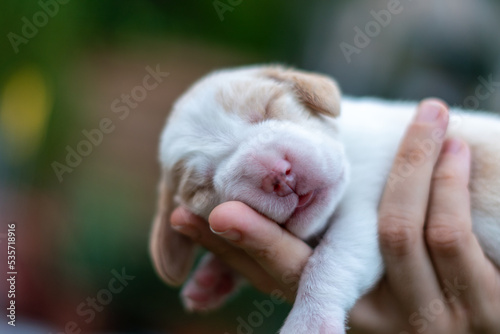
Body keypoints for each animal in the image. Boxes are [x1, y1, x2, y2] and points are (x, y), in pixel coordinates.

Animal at [148, 66, 500, 334]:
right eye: (201, 187)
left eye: (268, 109)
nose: (278, 174)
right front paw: (210, 279)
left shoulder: (365, 214)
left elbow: (331, 260)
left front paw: (309, 323)